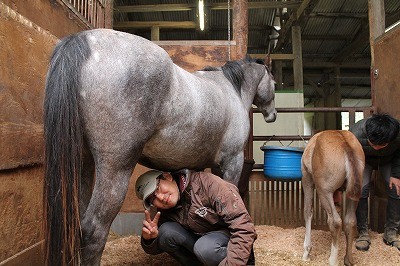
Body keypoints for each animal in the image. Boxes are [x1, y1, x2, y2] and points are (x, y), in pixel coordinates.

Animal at [43, 28, 276, 264]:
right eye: (275, 83)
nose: (272, 115)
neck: (231, 90)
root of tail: (84, 40)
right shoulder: (231, 162)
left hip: (84, 164)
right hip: (114, 169)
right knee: (94, 229)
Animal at [302, 130, 364, 266]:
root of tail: (345, 143)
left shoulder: (307, 179)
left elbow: (308, 211)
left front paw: (306, 252)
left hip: (324, 191)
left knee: (335, 222)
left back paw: (332, 260)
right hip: (353, 194)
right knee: (350, 221)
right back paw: (348, 259)